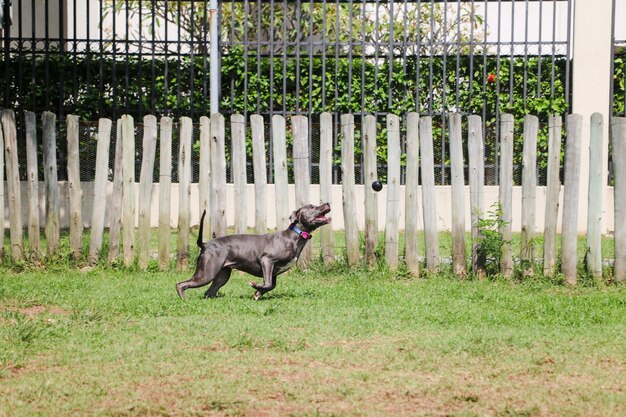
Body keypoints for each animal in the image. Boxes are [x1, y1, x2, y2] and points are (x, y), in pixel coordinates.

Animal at [176, 202, 332, 298]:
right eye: (311, 206)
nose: (328, 203)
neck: (294, 236)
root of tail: (205, 244)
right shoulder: (267, 260)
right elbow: (267, 283)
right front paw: (255, 285)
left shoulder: (274, 272)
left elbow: (271, 285)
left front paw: (257, 293)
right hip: (206, 273)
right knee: (181, 284)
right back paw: (185, 300)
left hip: (221, 276)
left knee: (209, 292)